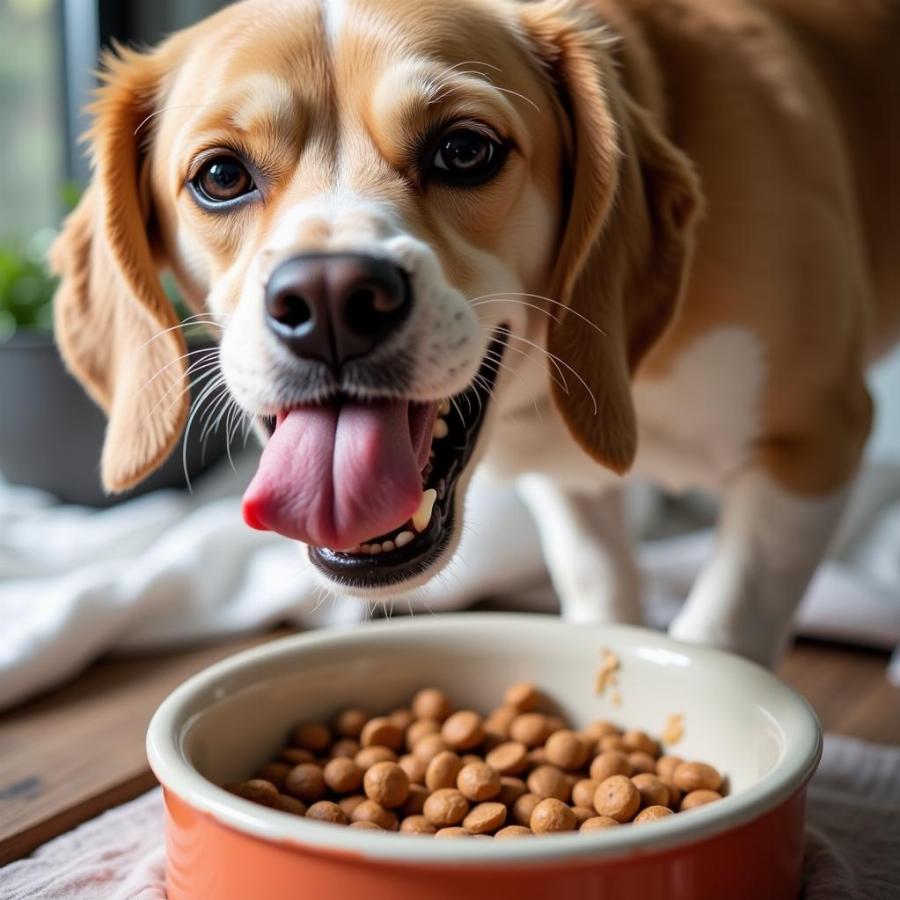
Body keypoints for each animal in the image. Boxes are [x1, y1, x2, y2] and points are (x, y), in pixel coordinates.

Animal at [51, 0, 900, 660]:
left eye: (464, 150)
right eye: (221, 176)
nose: (331, 297)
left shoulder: (816, 441)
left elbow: (723, 630)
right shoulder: (572, 484)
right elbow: (602, 589)